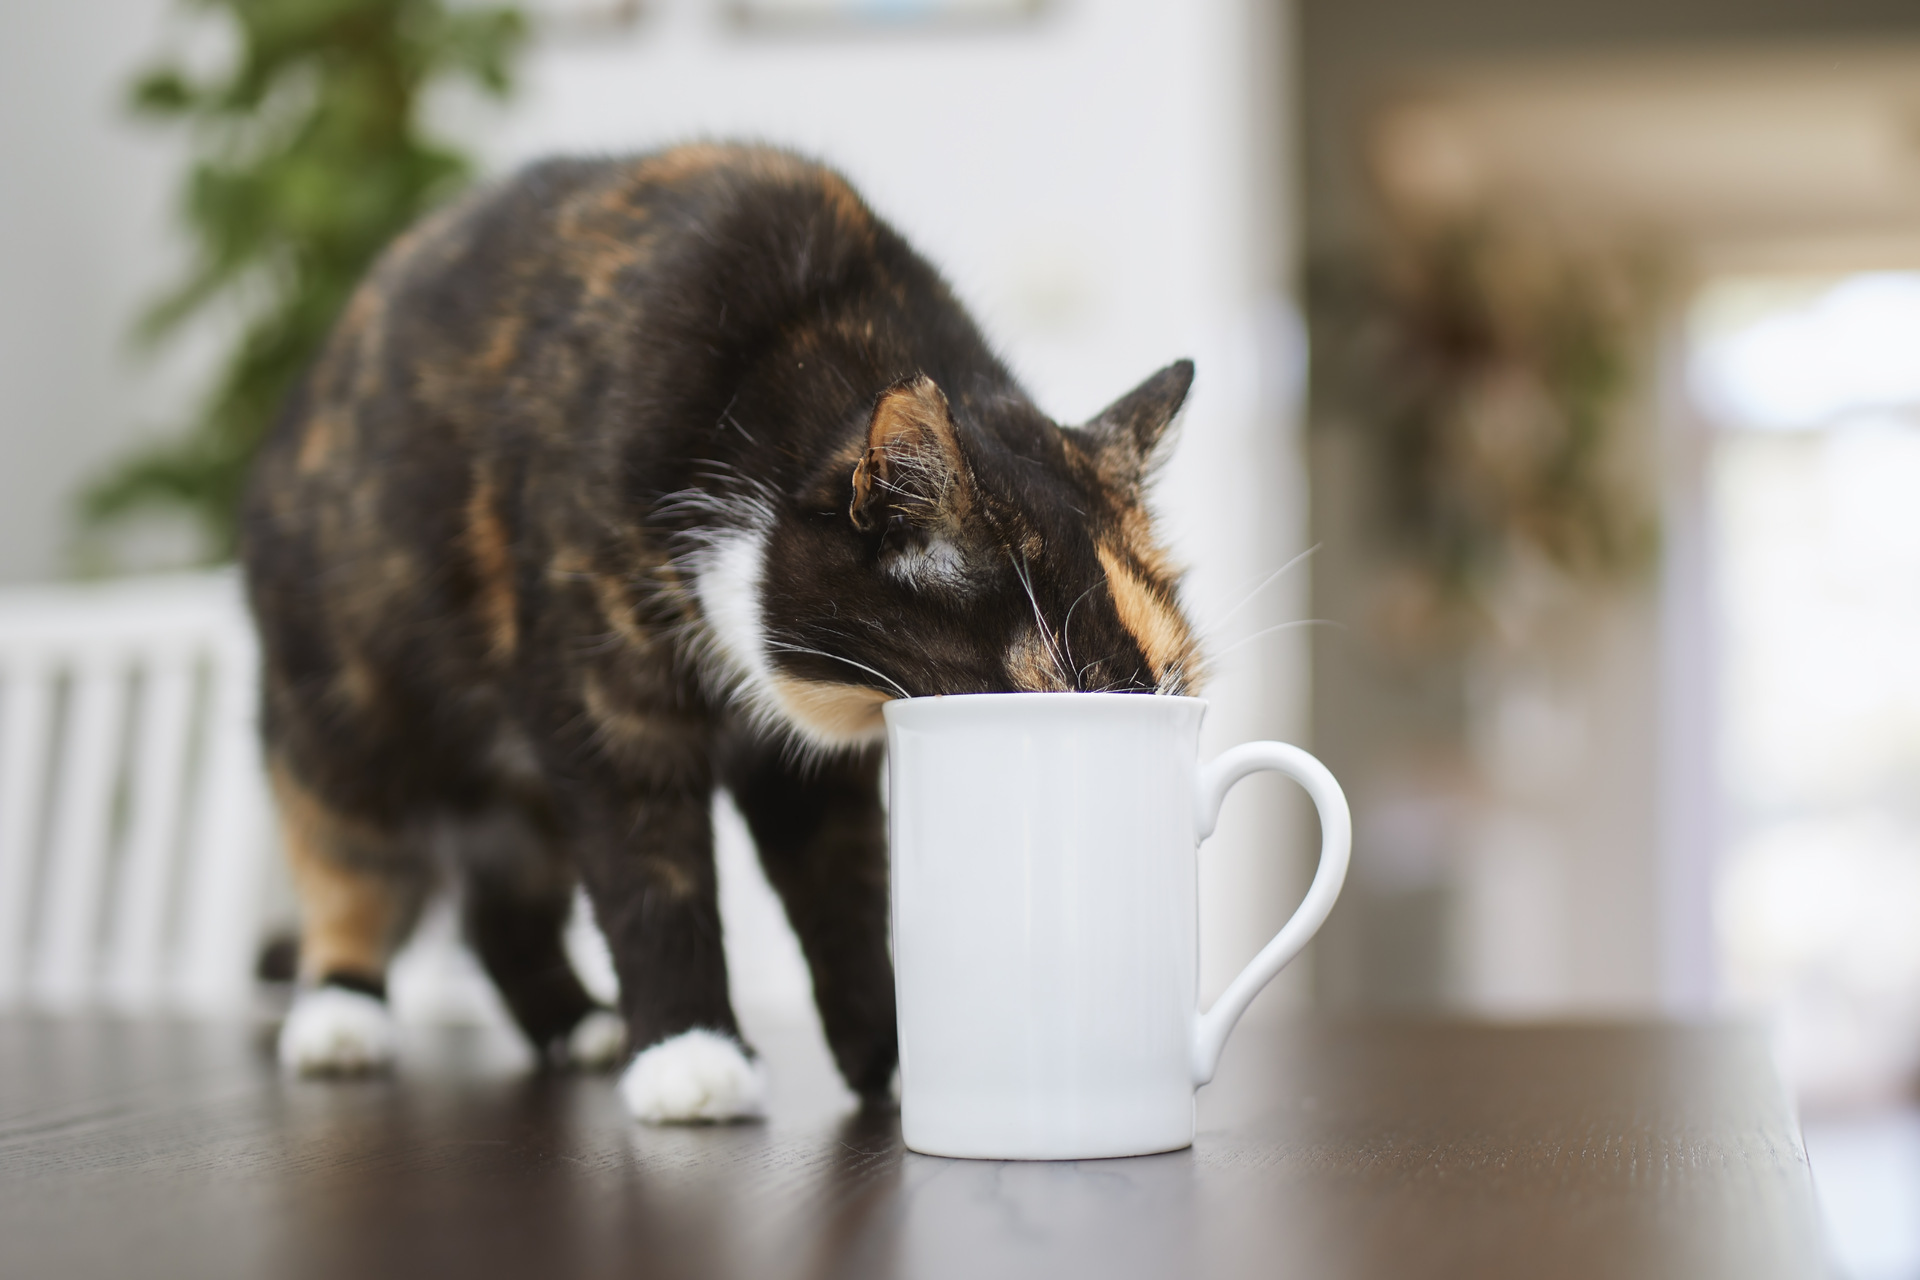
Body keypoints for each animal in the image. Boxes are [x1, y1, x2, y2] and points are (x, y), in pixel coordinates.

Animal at [240, 142, 1198, 1120]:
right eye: (1053, 688)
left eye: (1167, 684)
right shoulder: (603, 689)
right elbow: (649, 869)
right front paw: (689, 1054)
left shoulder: (812, 756)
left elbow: (845, 890)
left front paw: (887, 1057)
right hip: (341, 691)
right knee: (347, 846)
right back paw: (340, 1014)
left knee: (499, 906)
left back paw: (575, 1027)